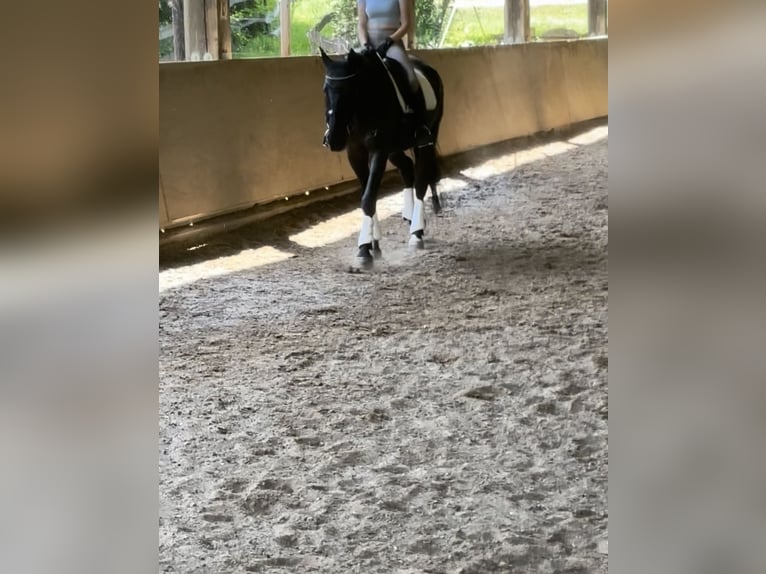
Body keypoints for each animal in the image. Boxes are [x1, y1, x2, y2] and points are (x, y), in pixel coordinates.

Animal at [319, 47, 445, 266]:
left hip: (427, 137)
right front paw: (372, 243)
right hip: (394, 149)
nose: (334, 138)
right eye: (326, 89)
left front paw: (364, 250)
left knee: (421, 179)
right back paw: (410, 216)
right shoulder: (355, 153)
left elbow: (368, 198)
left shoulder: (379, 151)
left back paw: (417, 233)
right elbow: (366, 193)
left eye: (350, 91)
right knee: (407, 168)